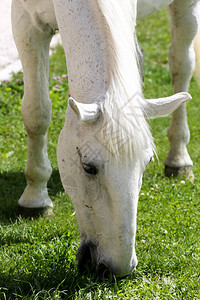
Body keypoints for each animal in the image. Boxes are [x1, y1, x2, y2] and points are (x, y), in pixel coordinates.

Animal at [11, 0, 198, 276]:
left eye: (145, 164)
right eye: (89, 168)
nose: (115, 268)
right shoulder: (27, 25)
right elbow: (36, 112)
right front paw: (35, 197)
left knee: (181, 65)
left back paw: (179, 159)